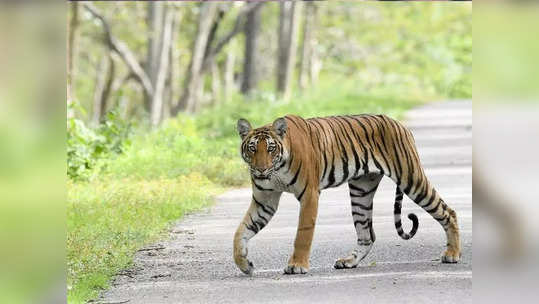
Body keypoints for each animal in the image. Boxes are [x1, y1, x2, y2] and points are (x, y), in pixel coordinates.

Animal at [232, 114, 460, 276]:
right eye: (252, 148)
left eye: (270, 149)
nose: (260, 169)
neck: (276, 170)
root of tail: (400, 124)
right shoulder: (265, 200)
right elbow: (241, 231)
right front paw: (244, 264)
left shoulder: (309, 195)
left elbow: (303, 234)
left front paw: (297, 265)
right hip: (361, 192)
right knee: (367, 235)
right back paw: (349, 262)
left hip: (411, 179)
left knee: (447, 212)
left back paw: (452, 254)